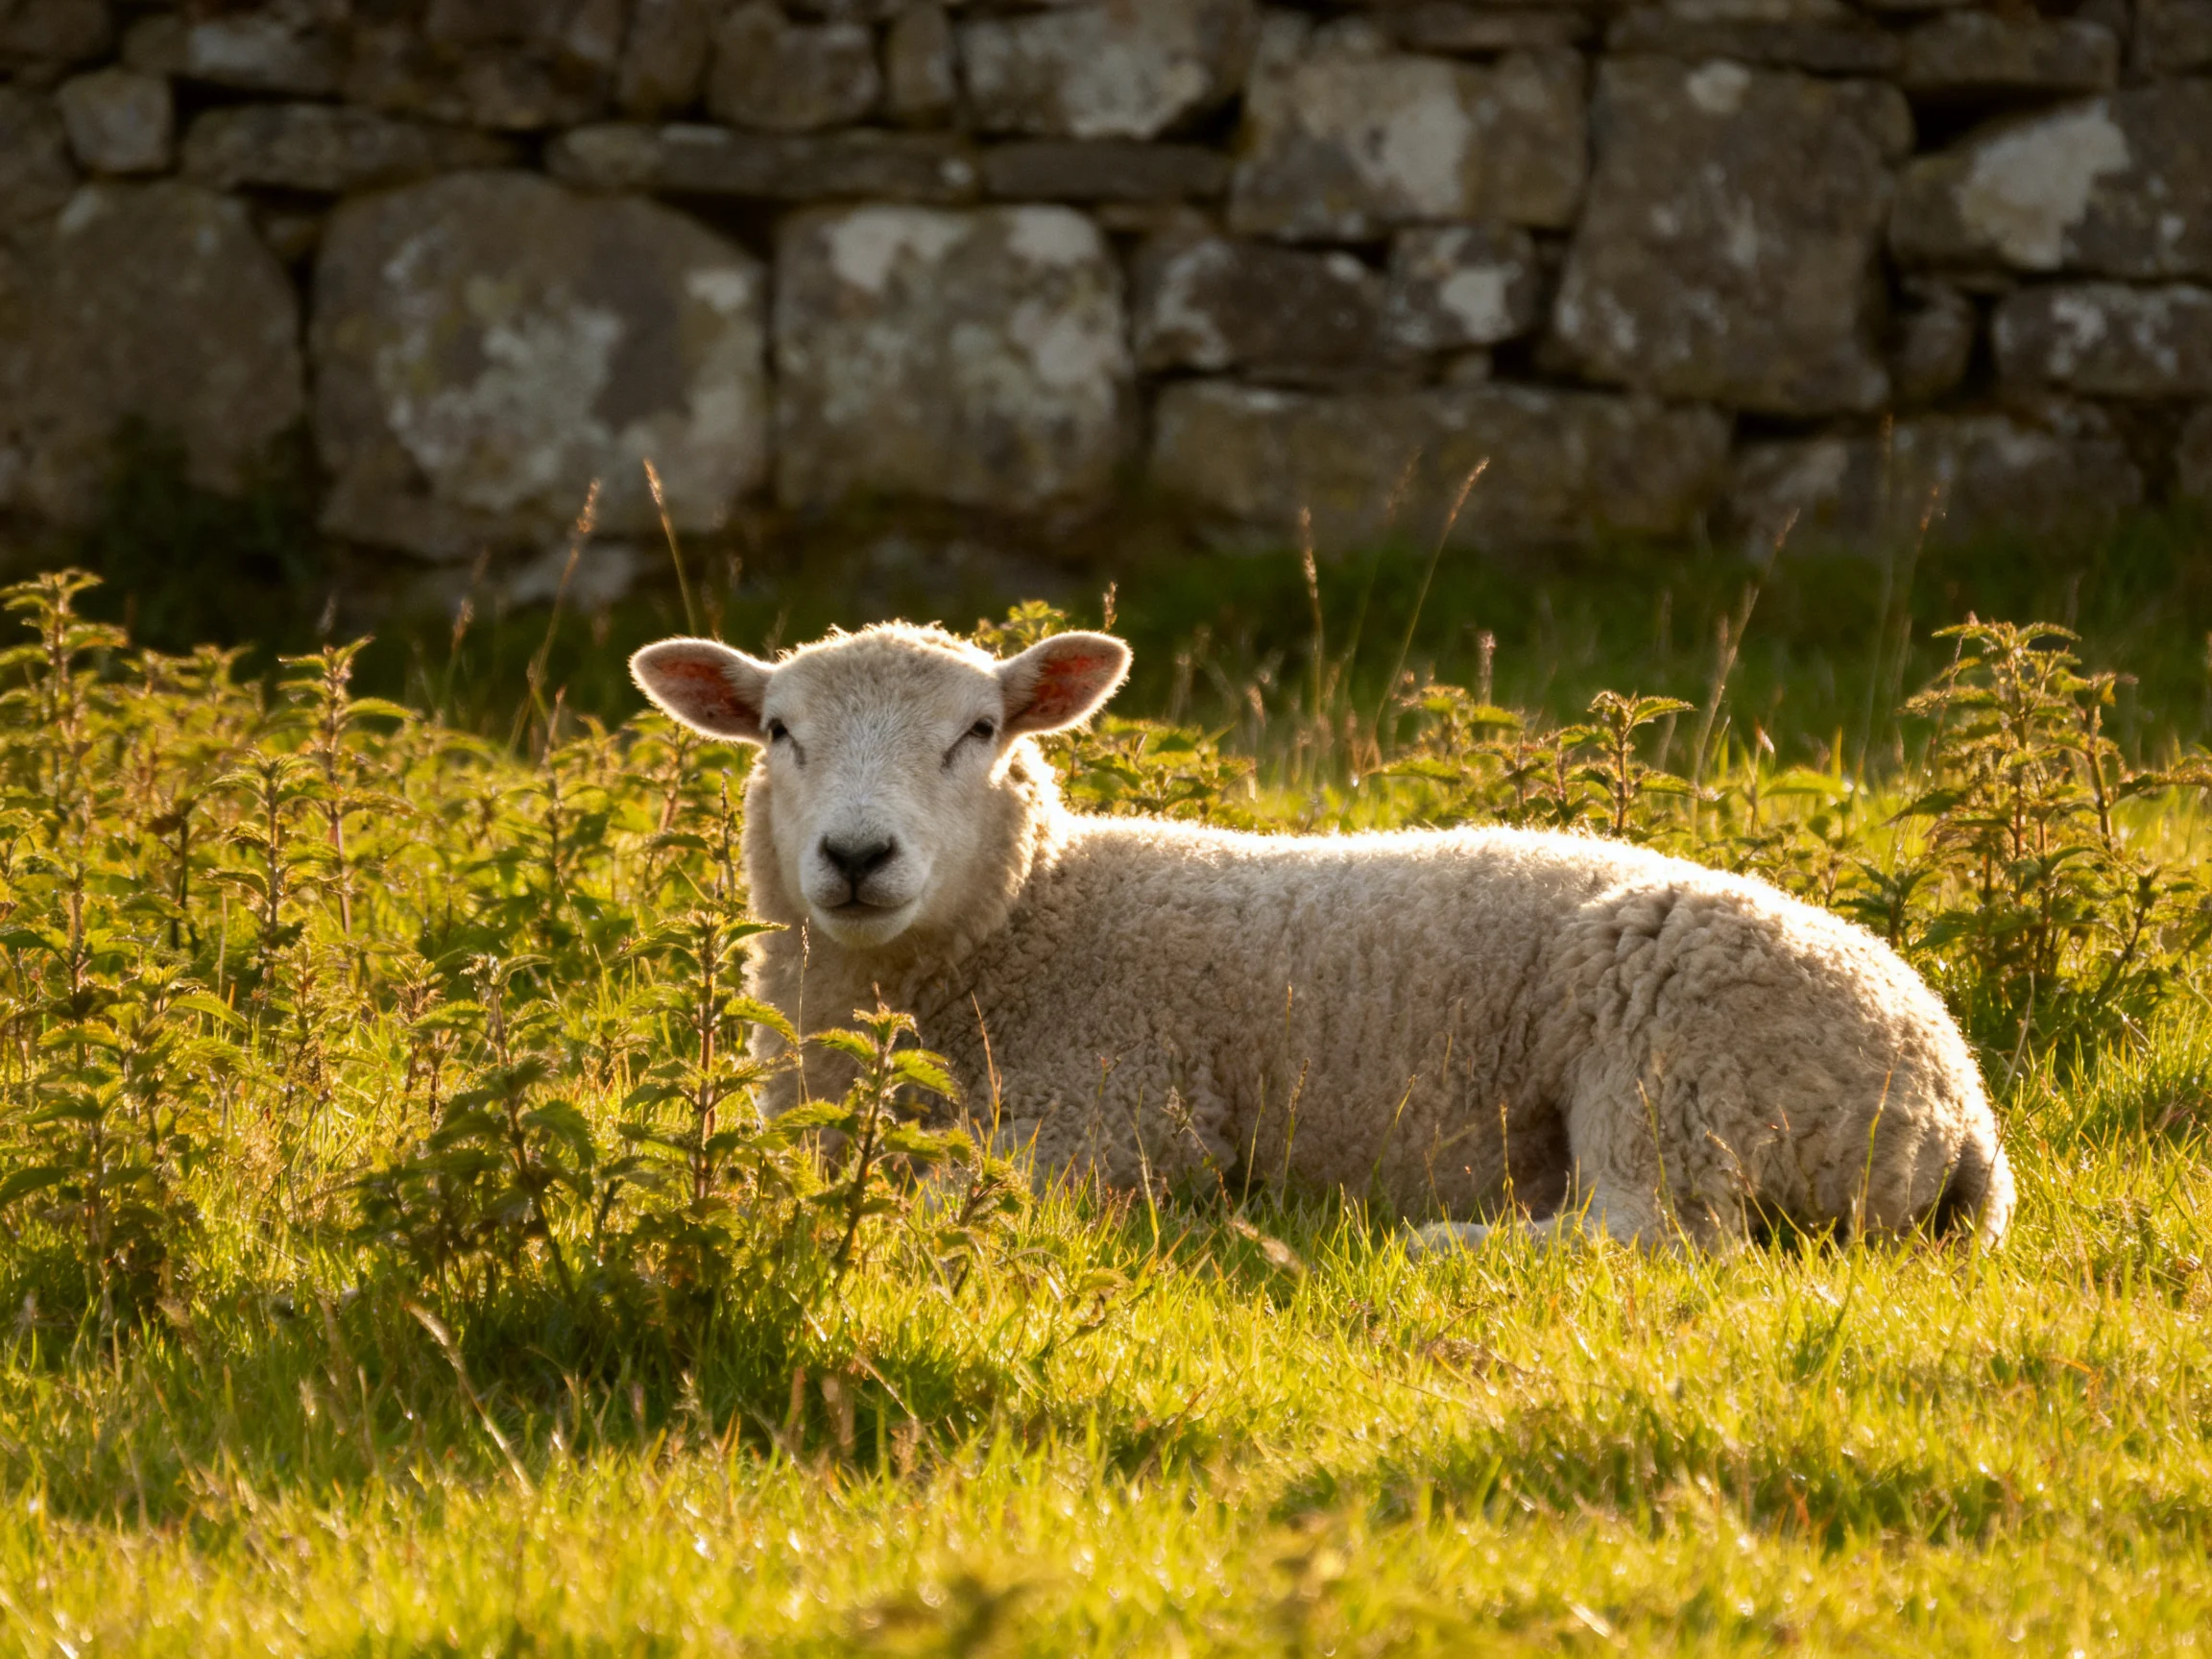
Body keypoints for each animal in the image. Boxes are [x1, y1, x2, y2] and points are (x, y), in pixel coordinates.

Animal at [630, 622, 2016, 1253]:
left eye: (981, 732)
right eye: (778, 731)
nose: (857, 857)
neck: (1037, 921)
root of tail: (1959, 1104)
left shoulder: (1113, 1112)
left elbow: (934, 1200)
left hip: (1680, 1071)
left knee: (1655, 1236)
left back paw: (1436, 1245)